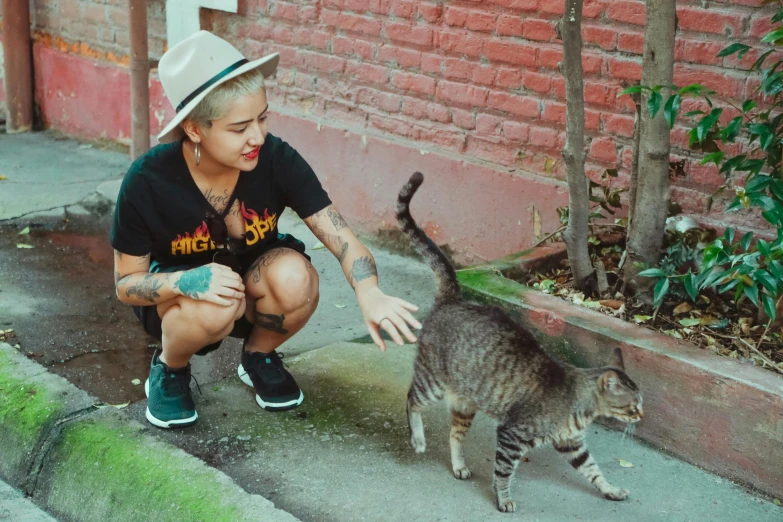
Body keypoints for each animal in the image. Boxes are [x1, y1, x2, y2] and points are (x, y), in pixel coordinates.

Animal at [396, 172, 648, 512]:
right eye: (634, 404)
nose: (642, 415)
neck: (579, 404)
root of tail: (453, 298)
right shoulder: (512, 435)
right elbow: (504, 472)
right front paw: (503, 499)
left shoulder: (572, 445)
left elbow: (594, 470)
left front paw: (610, 489)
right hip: (432, 382)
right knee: (411, 398)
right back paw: (418, 439)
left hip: (465, 403)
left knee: (455, 434)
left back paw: (459, 465)